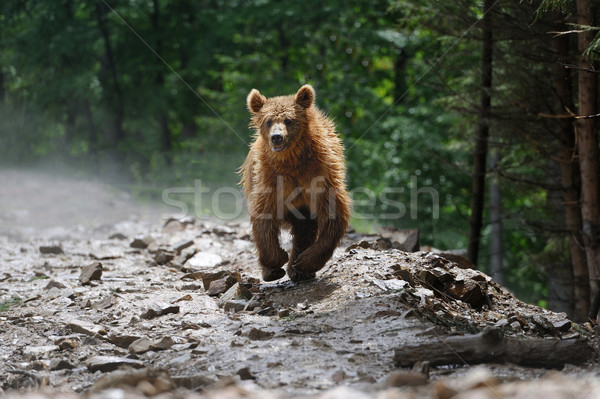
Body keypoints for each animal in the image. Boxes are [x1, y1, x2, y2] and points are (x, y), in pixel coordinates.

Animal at [240, 86, 352, 282]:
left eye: (289, 120)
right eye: (268, 120)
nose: (277, 137)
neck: (292, 161)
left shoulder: (320, 174)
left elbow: (333, 213)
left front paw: (306, 262)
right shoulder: (270, 179)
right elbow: (263, 215)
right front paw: (277, 260)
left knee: (304, 230)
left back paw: (299, 269)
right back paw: (273, 272)